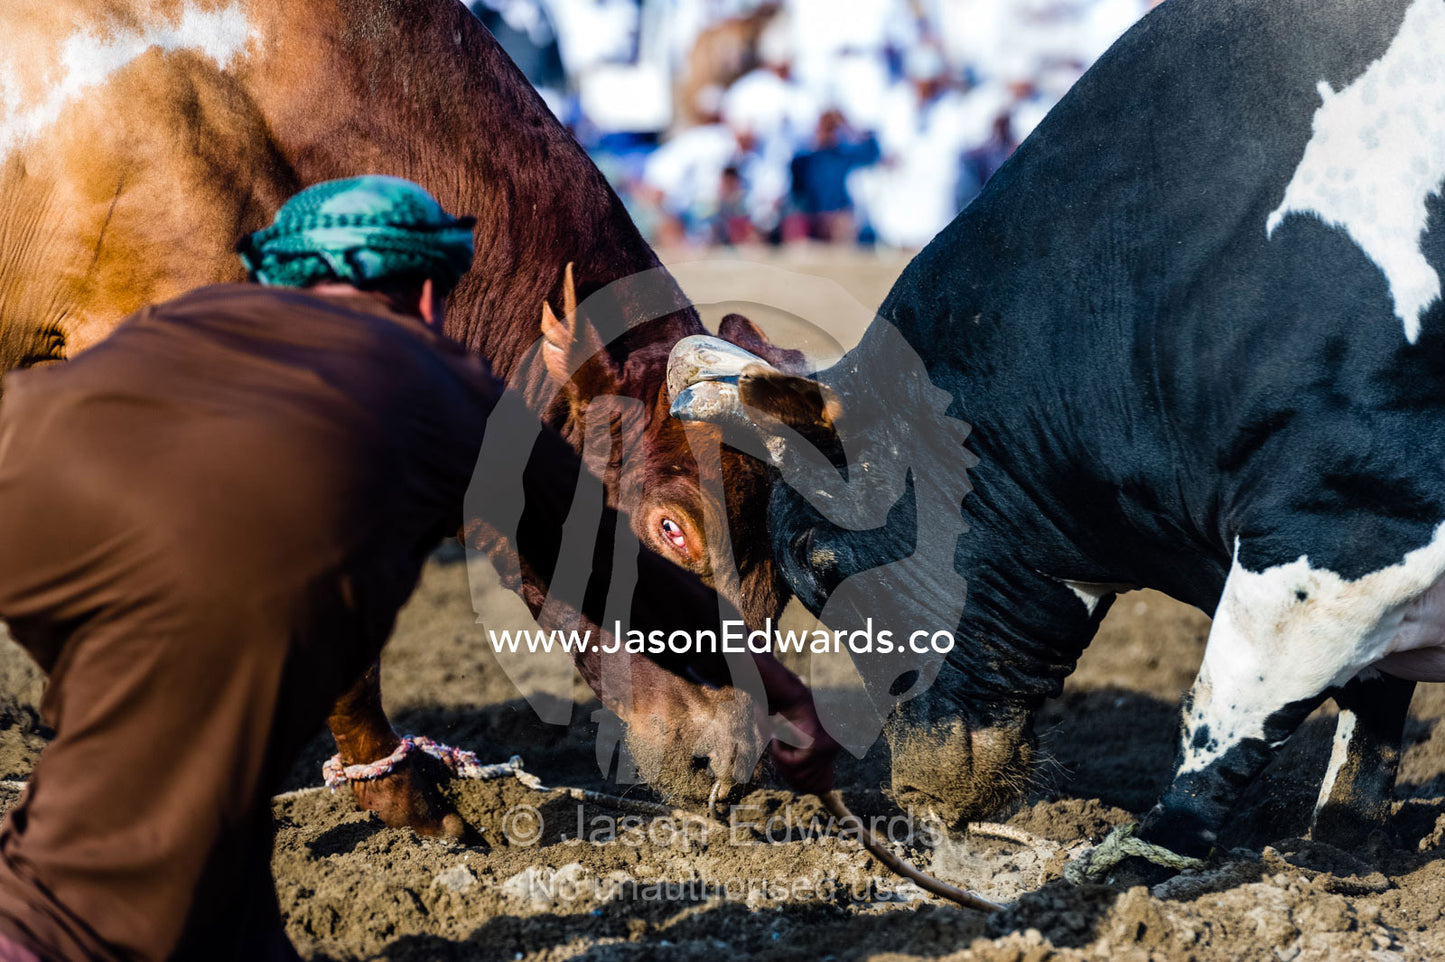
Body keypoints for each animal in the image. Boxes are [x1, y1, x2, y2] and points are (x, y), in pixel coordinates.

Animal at [668, 0, 1445, 862]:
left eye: (818, 561)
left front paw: (1141, 853)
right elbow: (1367, 719)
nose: (915, 793)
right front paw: (1338, 845)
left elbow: (1230, 704)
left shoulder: (1342, 522)